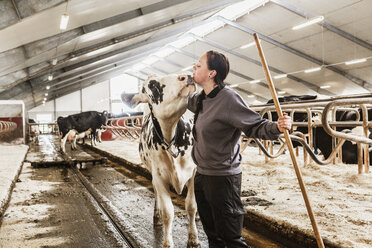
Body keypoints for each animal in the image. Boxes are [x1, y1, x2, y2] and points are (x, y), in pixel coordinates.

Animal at [122, 74, 199, 248]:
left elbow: (191, 206)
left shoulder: (193, 173)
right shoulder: (159, 177)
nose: (187, 76)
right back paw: (156, 216)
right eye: (152, 85)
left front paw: (193, 238)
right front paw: (167, 242)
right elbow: (168, 212)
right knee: (156, 194)